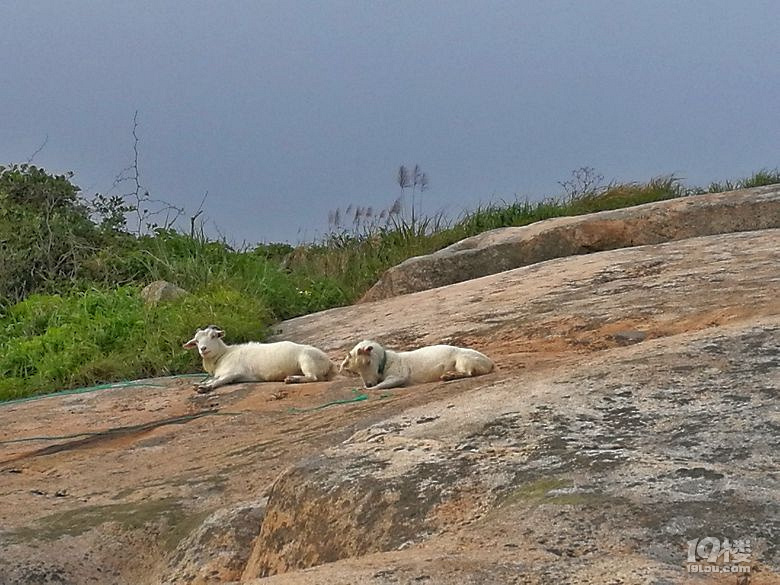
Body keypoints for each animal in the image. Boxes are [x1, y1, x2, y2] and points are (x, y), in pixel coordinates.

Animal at [187, 324, 336, 392]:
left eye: (214, 336)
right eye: (196, 341)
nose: (203, 349)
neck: (223, 355)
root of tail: (328, 361)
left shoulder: (233, 372)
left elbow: (217, 381)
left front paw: (204, 387)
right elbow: (213, 379)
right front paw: (199, 384)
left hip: (307, 360)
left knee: (313, 378)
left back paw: (292, 379)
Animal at [336, 338, 494, 388]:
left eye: (368, 362)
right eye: (356, 371)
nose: (368, 384)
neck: (385, 360)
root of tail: (490, 363)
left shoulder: (399, 374)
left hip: (463, 359)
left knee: (469, 372)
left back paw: (450, 375)